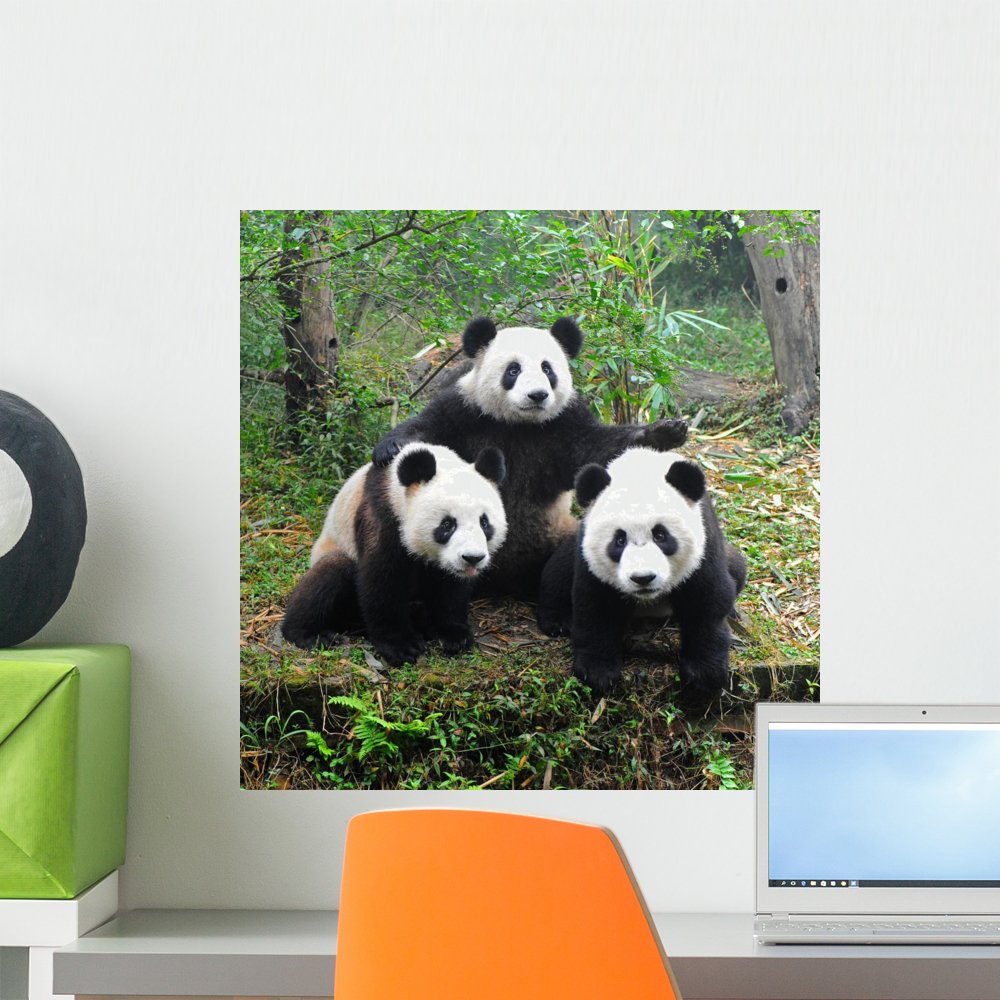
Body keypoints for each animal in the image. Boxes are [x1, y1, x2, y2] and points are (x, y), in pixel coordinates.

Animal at [281, 443, 508, 667]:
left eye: (484, 522)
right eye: (447, 524)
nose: (473, 558)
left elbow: (450, 587)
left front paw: (454, 635)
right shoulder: (383, 515)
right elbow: (383, 580)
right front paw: (401, 647)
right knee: (330, 572)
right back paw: (309, 634)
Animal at [372, 316, 689, 597]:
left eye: (548, 369)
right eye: (513, 370)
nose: (537, 395)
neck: (519, 423)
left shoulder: (563, 424)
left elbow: (597, 449)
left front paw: (665, 432)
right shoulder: (465, 411)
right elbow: (428, 428)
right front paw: (390, 448)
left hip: (557, 533)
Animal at [536, 447, 747, 696]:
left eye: (660, 535)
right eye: (619, 540)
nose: (643, 578)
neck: (640, 470)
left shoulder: (705, 544)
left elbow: (707, 602)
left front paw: (705, 674)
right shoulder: (590, 559)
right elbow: (595, 607)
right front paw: (597, 672)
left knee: (738, 569)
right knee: (558, 571)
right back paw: (557, 620)